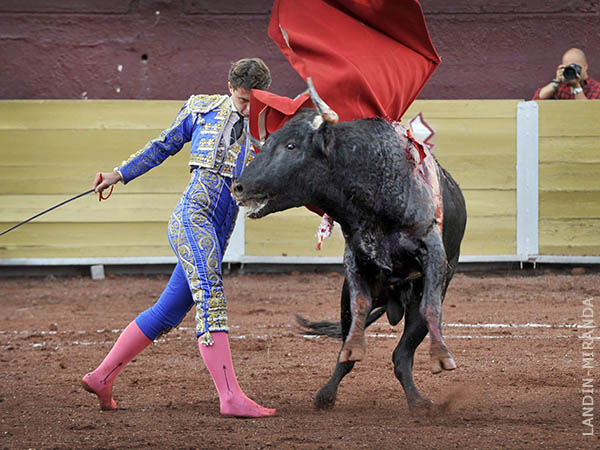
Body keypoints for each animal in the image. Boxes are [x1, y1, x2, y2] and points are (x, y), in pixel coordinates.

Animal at [232, 108, 466, 408]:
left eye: (291, 145)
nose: (238, 186)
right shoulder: (354, 259)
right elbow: (360, 306)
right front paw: (352, 350)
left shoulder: (433, 253)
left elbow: (431, 307)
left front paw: (442, 358)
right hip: (348, 295)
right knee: (363, 349)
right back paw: (328, 394)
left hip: (419, 295)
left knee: (403, 352)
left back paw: (418, 401)